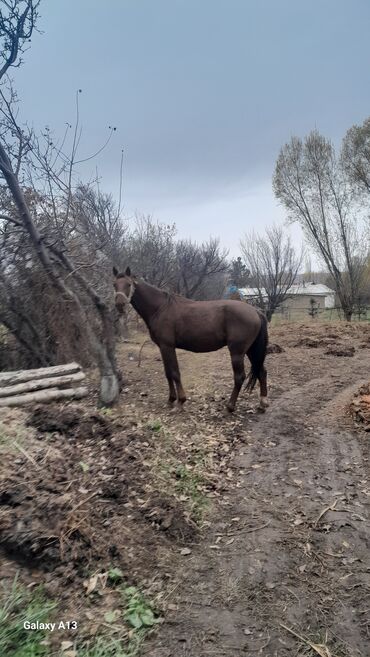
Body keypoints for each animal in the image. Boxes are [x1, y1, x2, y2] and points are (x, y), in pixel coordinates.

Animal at [113, 266, 268, 410]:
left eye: (128, 284)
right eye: (115, 285)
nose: (119, 305)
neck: (160, 308)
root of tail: (255, 311)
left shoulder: (167, 346)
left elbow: (175, 373)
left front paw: (180, 401)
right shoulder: (162, 348)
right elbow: (168, 373)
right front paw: (171, 399)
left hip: (237, 352)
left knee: (239, 377)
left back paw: (230, 406)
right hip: (251, 350)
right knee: (261, 371)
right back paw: (262, 403)